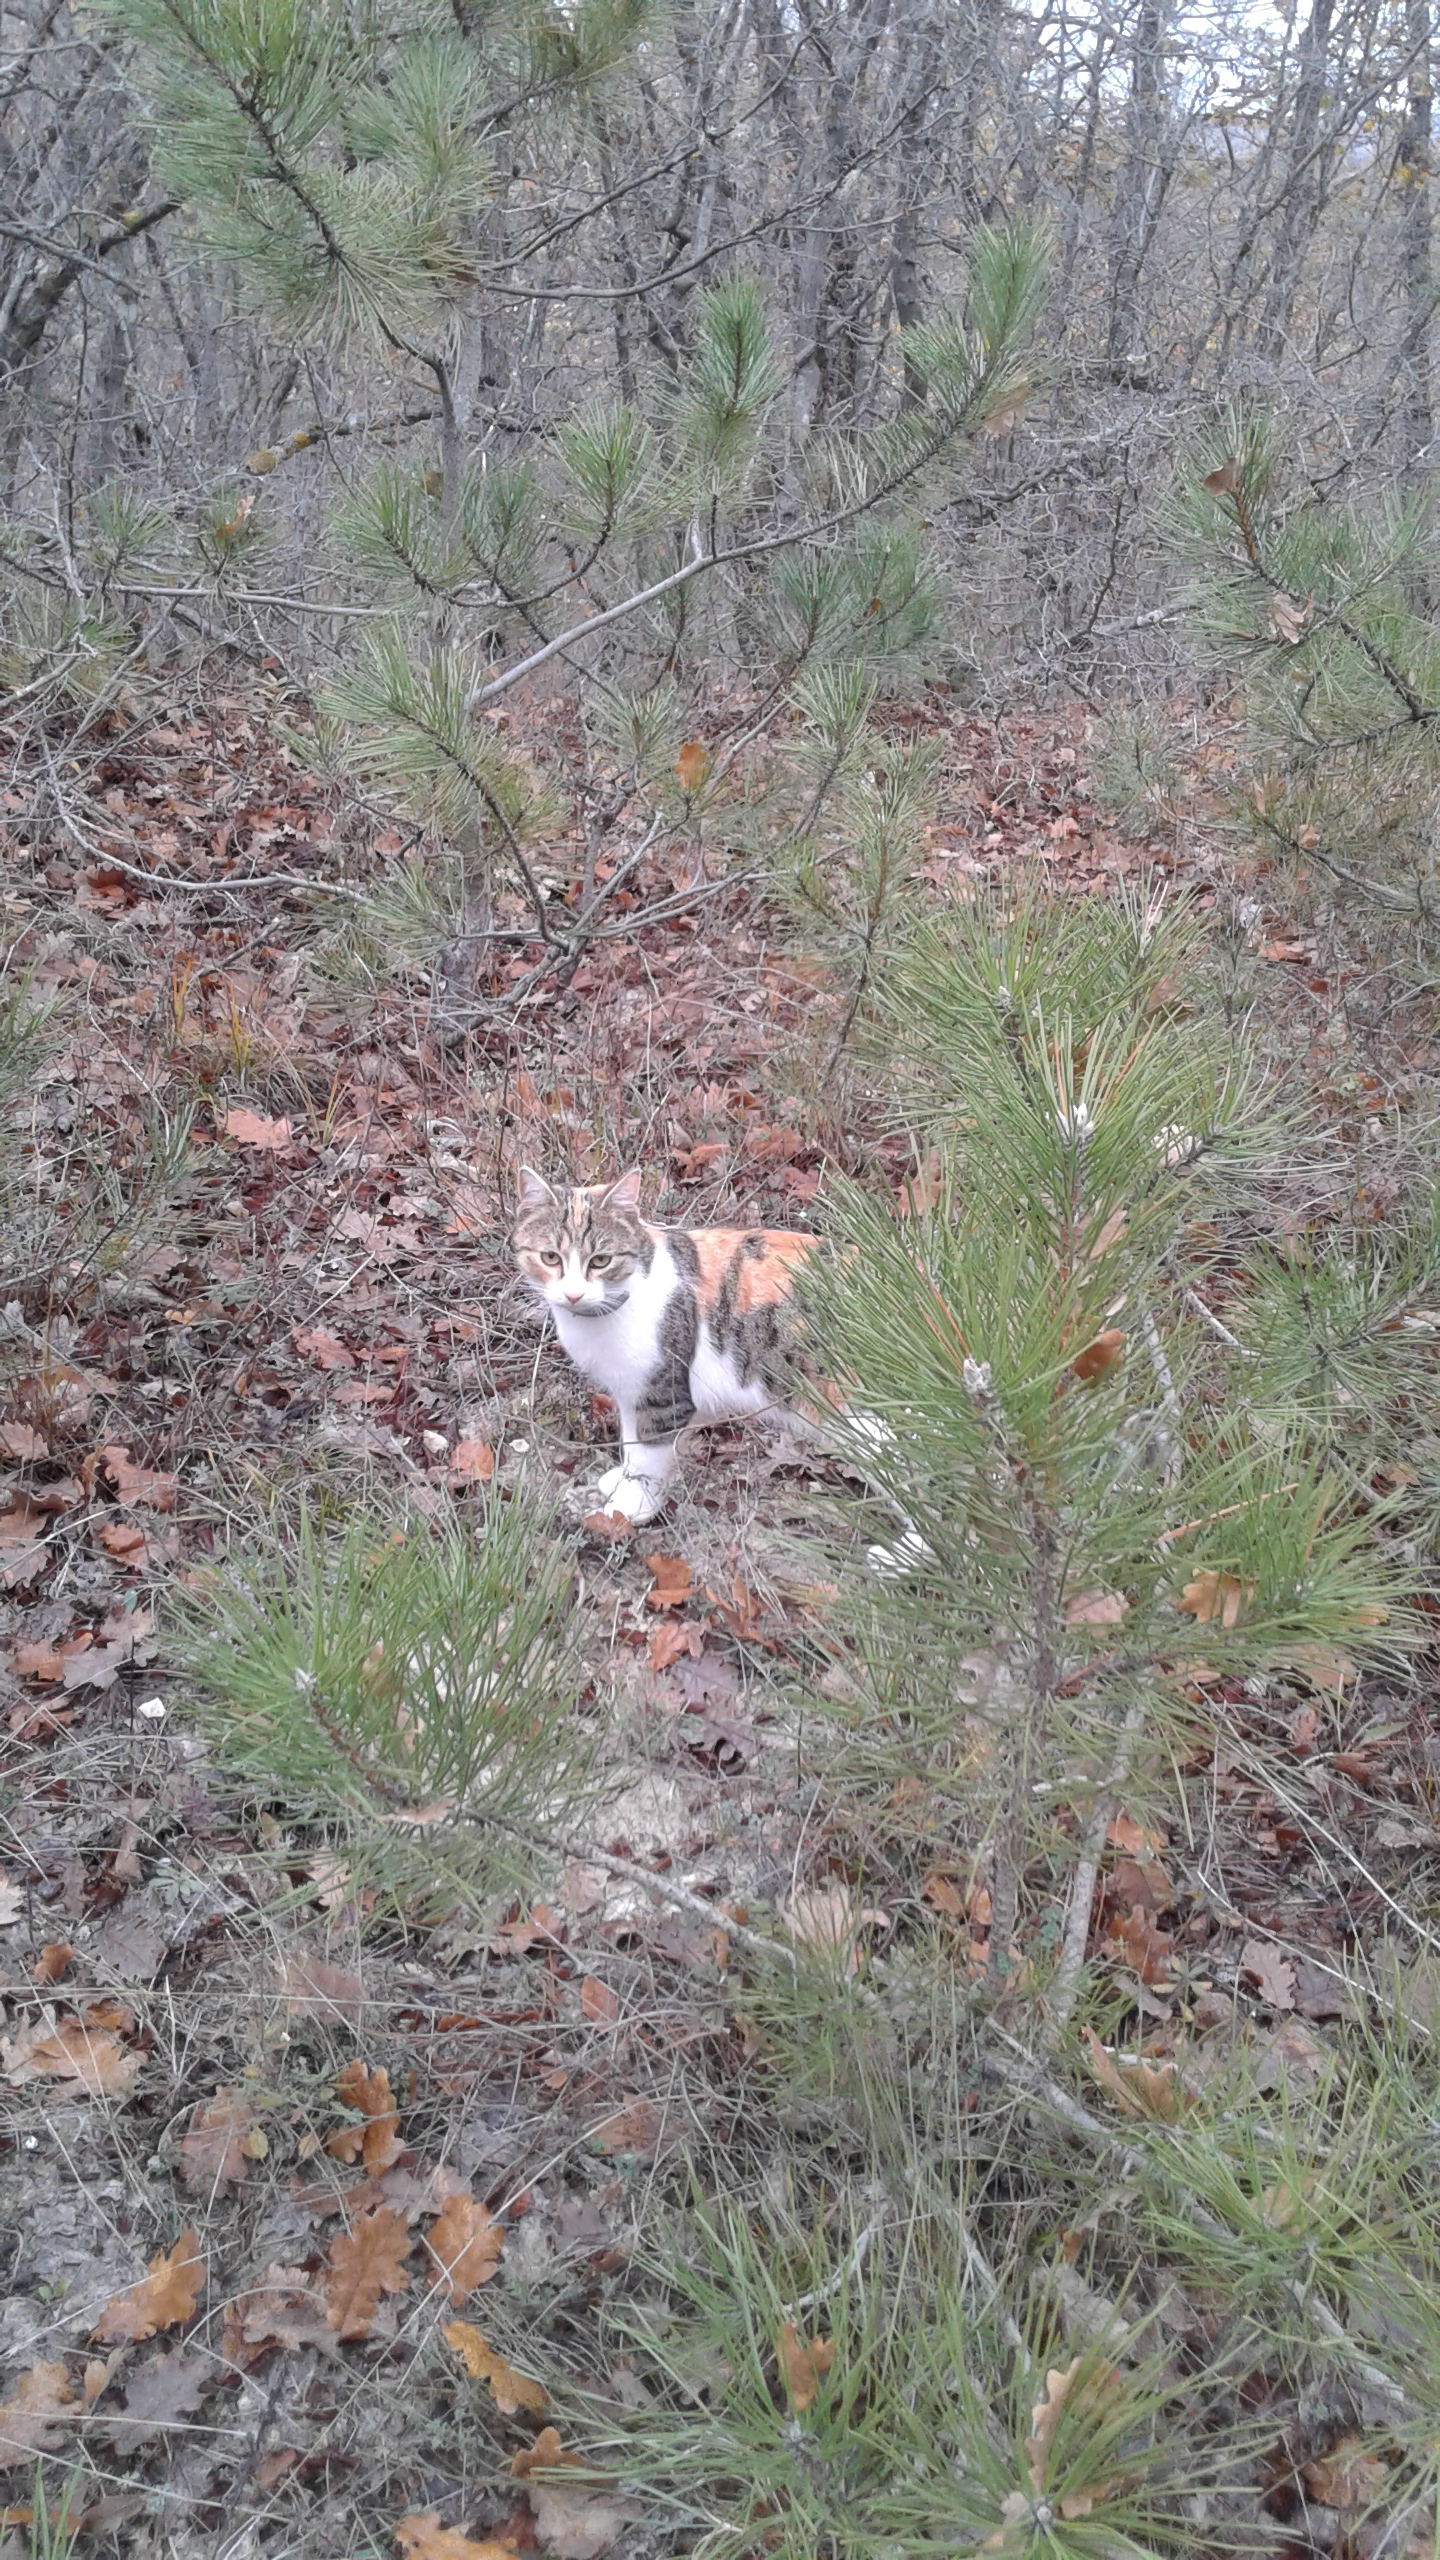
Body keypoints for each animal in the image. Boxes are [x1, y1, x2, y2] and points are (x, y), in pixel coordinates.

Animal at [509, 1172, 922, 1566]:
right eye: (550, 1258)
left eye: (600, 1260)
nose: (573, 1294)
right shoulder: (635, 1392)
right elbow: (631, 1443)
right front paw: (622, 1481)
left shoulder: (663, 1395)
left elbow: (647, 1455)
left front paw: (629, 1506)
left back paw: (901, 1558)